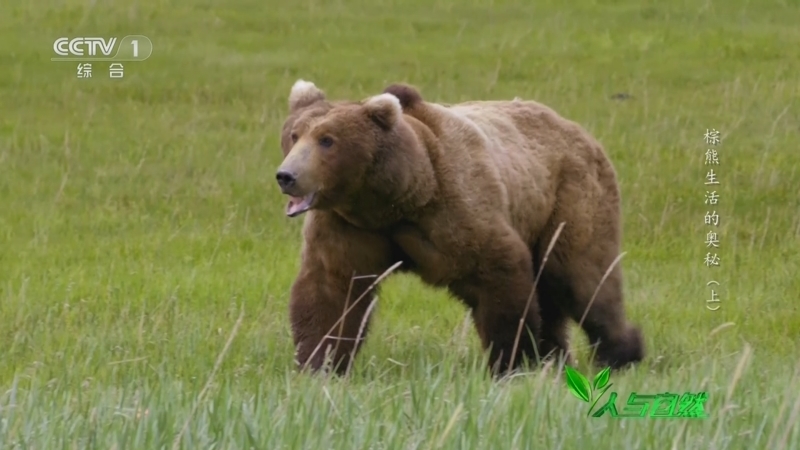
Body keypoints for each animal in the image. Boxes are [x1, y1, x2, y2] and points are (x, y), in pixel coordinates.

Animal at [275, 79, 645, 377]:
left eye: (327, 140)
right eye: (294, 134)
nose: (286, 176)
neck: (396, 199)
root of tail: (576, 129)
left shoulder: (455, 210)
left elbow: (499, 277)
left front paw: (511, 361)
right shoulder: (349, 227)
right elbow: (331, 291)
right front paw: (317, 364)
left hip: (569, 198)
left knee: (582, 278)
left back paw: (621, 354)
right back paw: (555, 358)